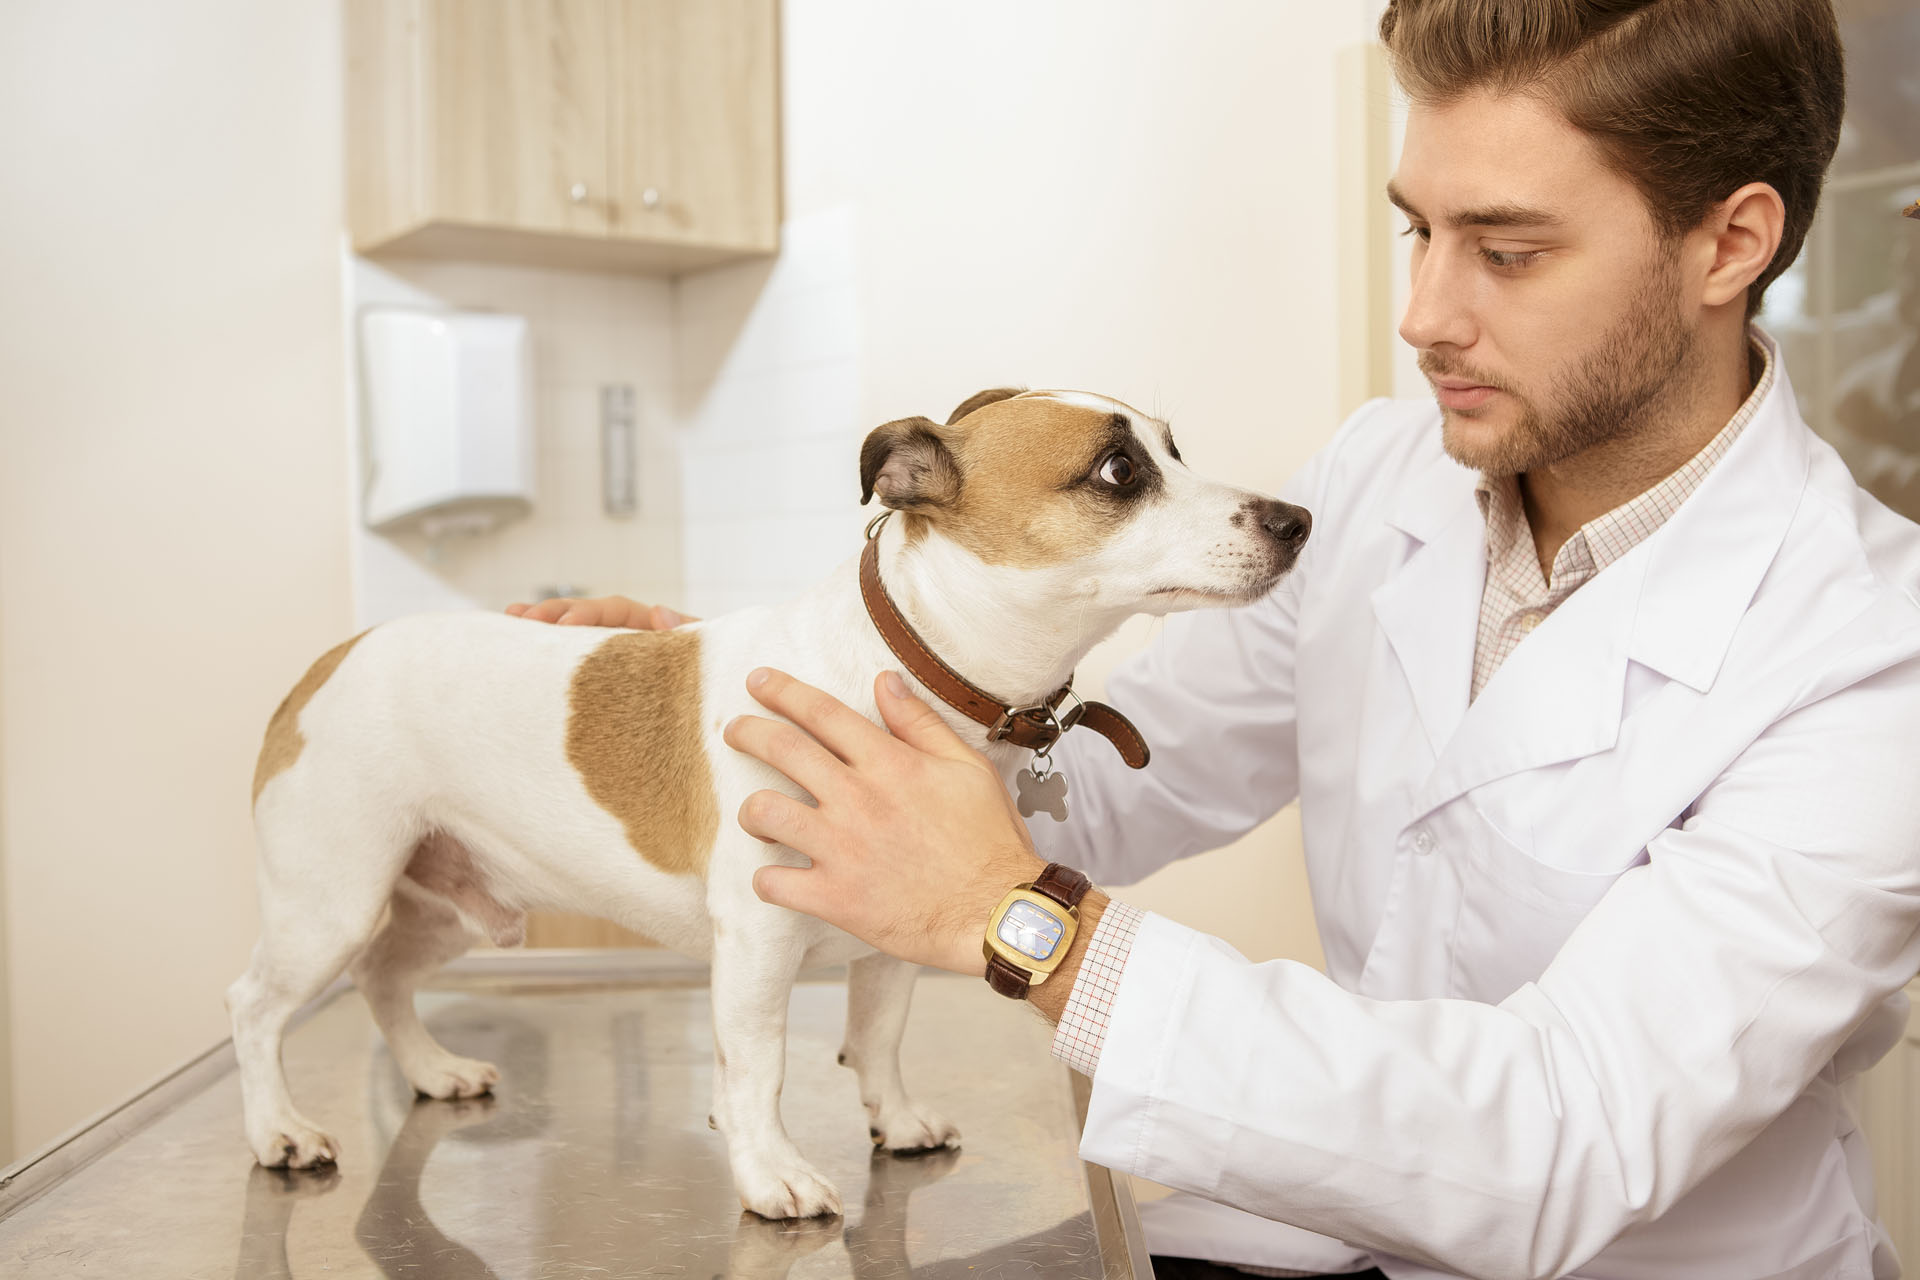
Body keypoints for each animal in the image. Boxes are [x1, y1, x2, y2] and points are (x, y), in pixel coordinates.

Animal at [224, 387, 1305, 1220]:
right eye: (1119, 470)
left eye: (1174, 448)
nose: (1296, 519)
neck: (899, 667)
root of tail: (331, 659)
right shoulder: (756, 942)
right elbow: (758, 1068)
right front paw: (769, 1171)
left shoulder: (890, 940)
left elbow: (879, 1040)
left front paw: (893, 1120)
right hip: (335, 900)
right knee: (259, 1004)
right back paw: (277, 1125)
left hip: (454, 905)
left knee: (384, 979)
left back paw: (429, 1069)